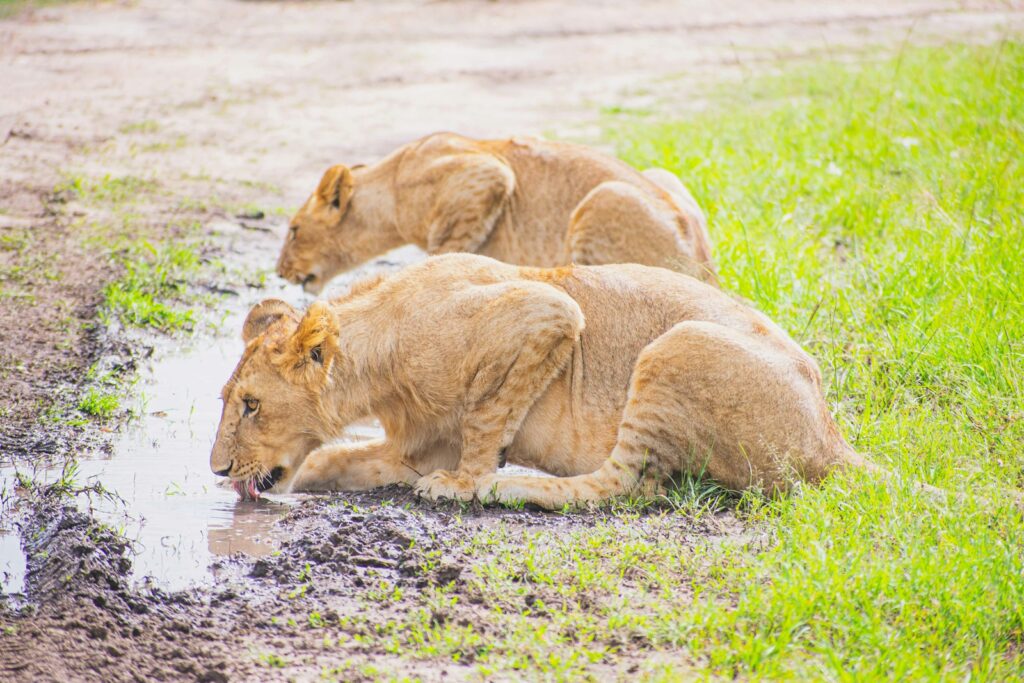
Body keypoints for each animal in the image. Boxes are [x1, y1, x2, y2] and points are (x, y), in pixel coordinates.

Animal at [209, 253, 872, 509]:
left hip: (676, 346)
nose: (216, 470)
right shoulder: (413, 449)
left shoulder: (546, 312)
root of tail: (831, 439)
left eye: (250, 405)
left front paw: (466, 484)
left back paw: (511, 486)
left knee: (626, 485)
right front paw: (309, 477)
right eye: (229, 401)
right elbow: (339, 461)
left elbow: (484, 419)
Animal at [276, 132, 716, 294]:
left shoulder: (485, 173)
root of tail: (707, 267)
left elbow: (444, 252)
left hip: (603, 198)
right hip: (662, 176)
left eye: (294, 229)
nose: (279, 272)